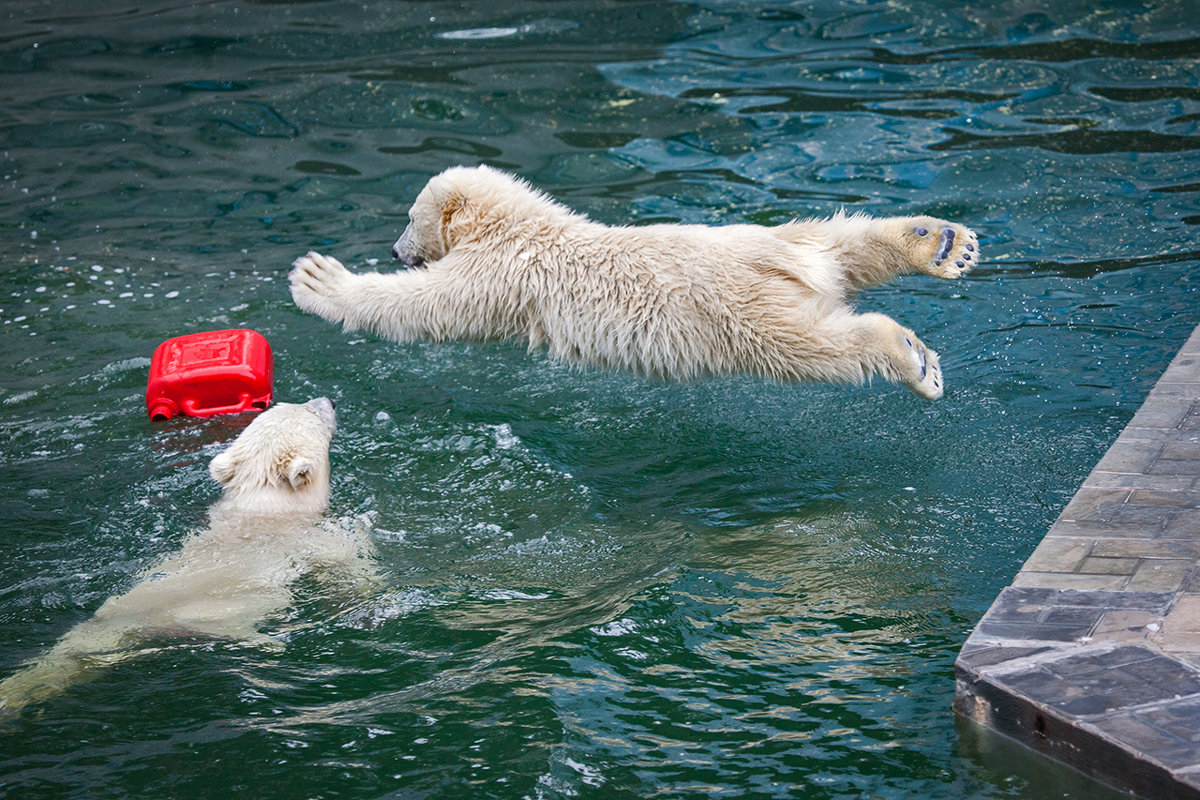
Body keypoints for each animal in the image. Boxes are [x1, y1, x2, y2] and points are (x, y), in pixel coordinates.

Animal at [0, 398, 376, 714]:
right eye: (309, 412)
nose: (328, 401)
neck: (264, 505)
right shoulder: (307, 538)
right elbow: (345, 558)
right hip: (222, 609)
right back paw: (270, 642)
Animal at [285, 166, 979, 400]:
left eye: (408, 216)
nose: (395, 248)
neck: (522, 225)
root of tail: (790, 270)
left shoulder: (498, 273)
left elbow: (423, 308)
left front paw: (317, 279)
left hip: (740, 313)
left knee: (813, 344)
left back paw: (912, 358)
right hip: (780, 244)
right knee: (841, 239)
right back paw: (941, 242)